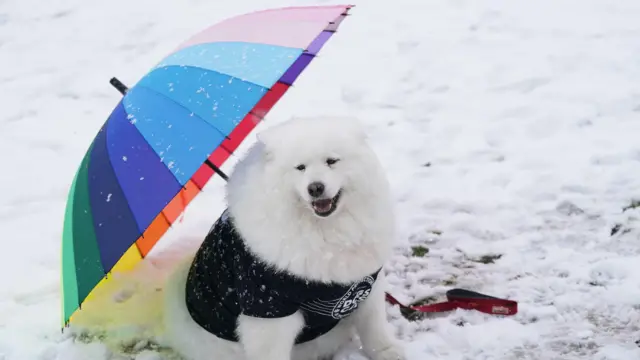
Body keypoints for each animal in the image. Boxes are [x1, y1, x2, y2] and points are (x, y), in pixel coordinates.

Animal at [164, 116, 404, 360]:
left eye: (331, 161)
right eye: (300, 167)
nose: (315, 188)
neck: (326, 233)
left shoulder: (366, 283)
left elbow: (374, 326)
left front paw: (387, 352)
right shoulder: (268, 308)